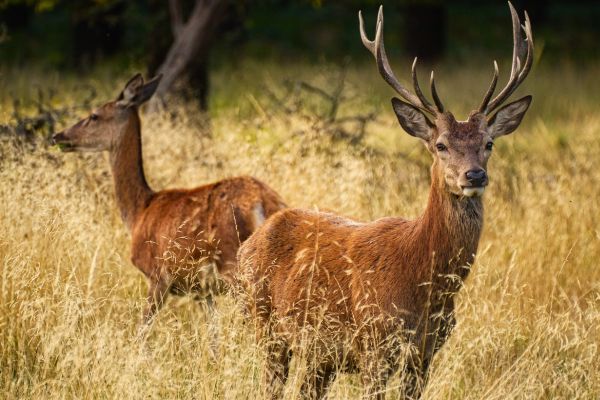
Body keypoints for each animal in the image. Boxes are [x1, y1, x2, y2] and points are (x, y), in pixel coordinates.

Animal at [239, 3, 536, 400]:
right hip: (265, 323)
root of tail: (250, 242)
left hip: (318, 355)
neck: (425, 285)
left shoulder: (426, 353)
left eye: (489, 143)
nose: (474, 176)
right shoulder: (373, 344)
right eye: (440, 144)